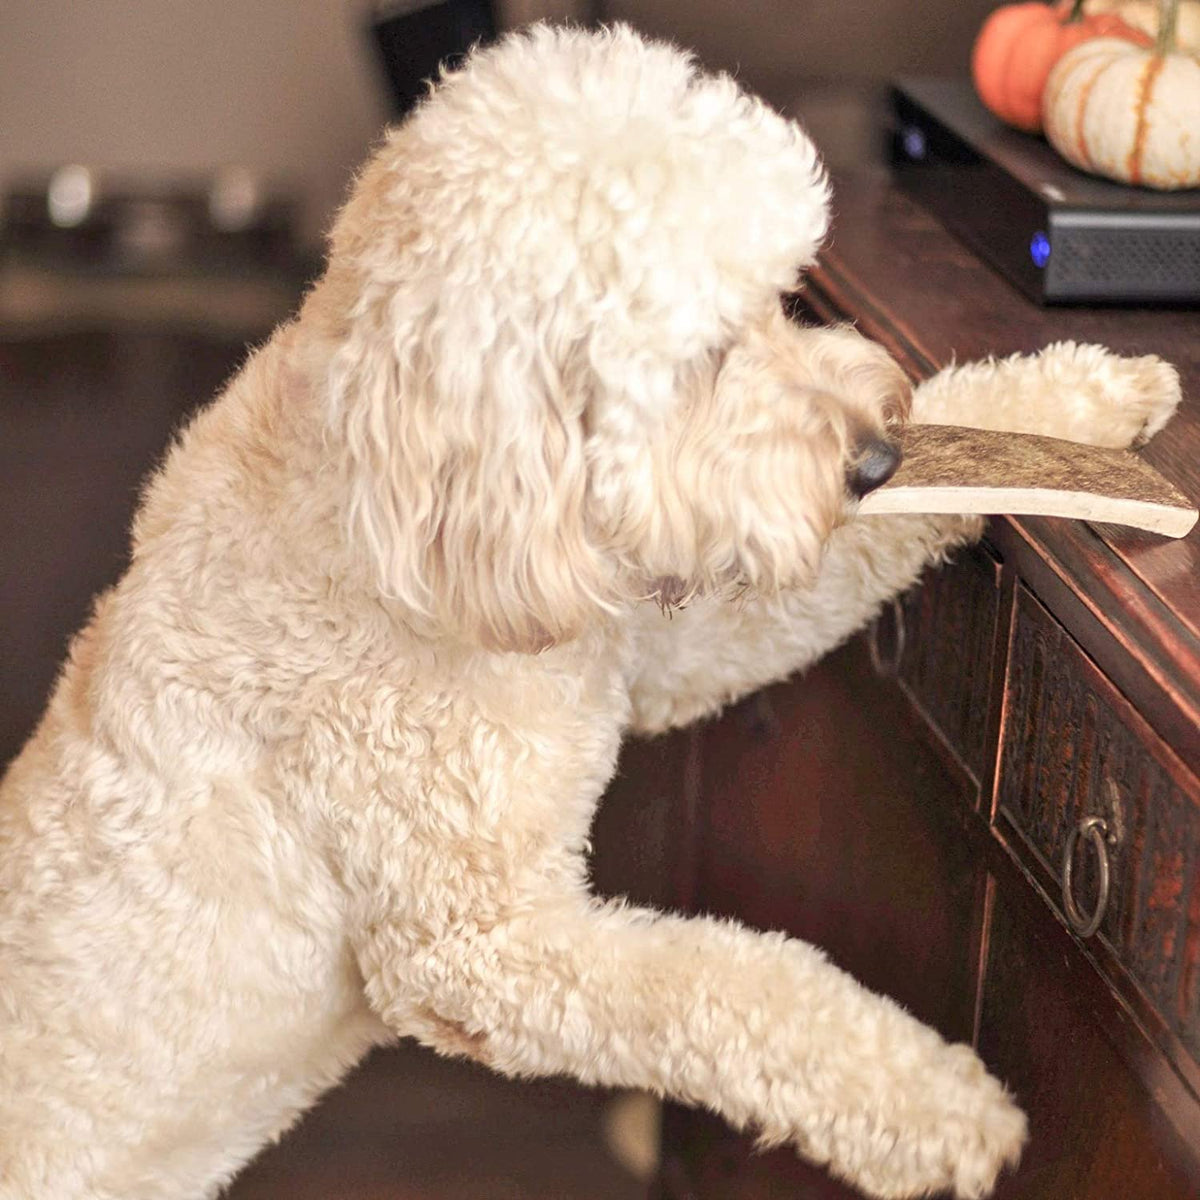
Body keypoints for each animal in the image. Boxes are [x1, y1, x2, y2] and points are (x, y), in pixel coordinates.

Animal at [0, 21, 1180, 1200]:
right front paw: (938, 1105)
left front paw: (1074, 405)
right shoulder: (482, 953)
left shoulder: (655, 646)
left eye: (780, 296)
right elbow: (726, 989)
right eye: (703, 356)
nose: (876, 460)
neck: (400, 516)